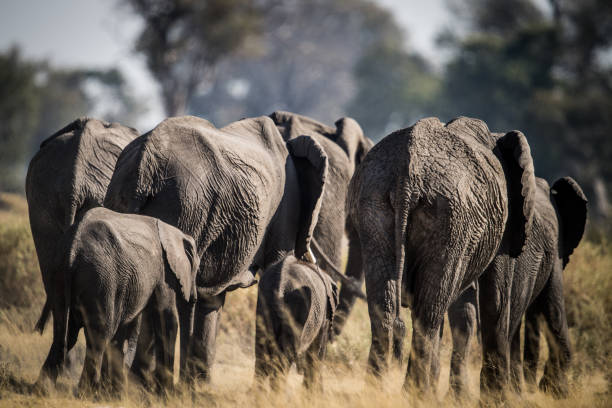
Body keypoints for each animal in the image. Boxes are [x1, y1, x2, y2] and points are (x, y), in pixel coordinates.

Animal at [37, 207, 198, 396]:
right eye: (196, 269)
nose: (194, 297)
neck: (176, 232)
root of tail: (72, 249)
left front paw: (115, 392)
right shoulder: (165, 272)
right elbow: (166, 319)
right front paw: (166, 394)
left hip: (60, 274)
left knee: (65, 331)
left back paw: (43, 389)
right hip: (101, 279)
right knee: (99, 335)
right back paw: (87, 392)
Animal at [255, 255, 340, 388]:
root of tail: (280, 288)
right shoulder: (324, 317)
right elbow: (316, 352)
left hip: (264, 304)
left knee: (262, 354)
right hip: (297, 309)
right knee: (284, 359)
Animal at [350, 116, 536, 394]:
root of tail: (407, 175)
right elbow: (496, 298)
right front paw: (497, 397)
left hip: (374, 203)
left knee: (387, 309)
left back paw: (376, 391)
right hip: (451, 219)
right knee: (429, 313)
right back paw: (416, 394)